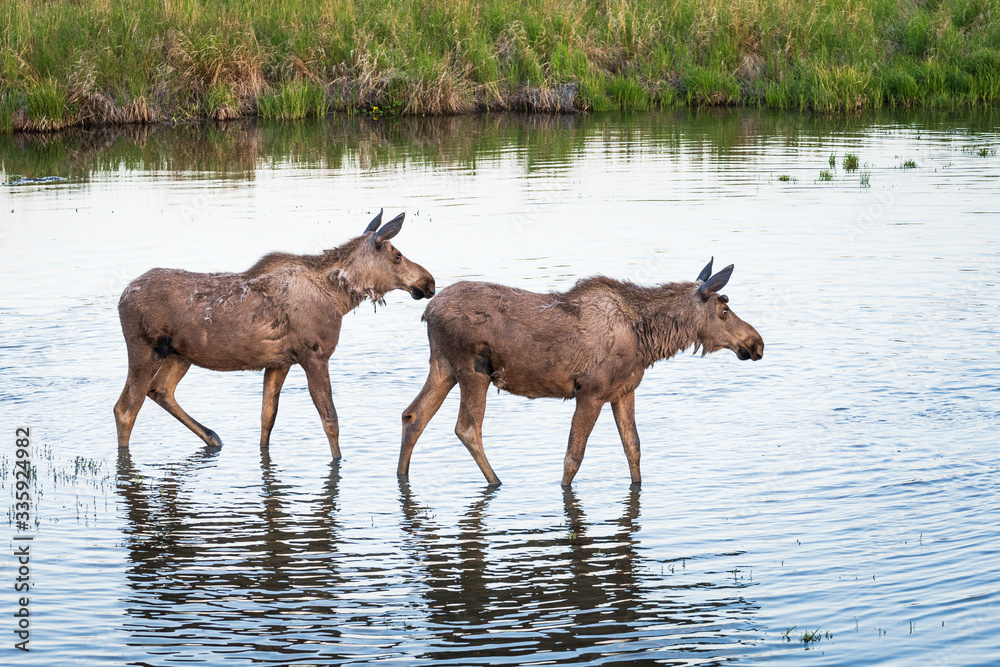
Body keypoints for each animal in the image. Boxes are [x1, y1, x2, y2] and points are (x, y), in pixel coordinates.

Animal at [114, 210, 435, 456]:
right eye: (397, 255)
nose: (428, 282)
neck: (339, 299)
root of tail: (121, 297)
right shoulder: (315, 355)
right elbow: (330, 419)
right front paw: (338, 461)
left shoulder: (279, 363)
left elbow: (267, 418)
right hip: (145, 349)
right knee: (126, 408)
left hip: (180, 355)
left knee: (160, 390)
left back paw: (212, 437)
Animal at [397, 258, 763, 487]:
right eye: (724, 310)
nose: (756, 343)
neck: (647, 339)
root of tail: (428, 311)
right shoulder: (590, 393)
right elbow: (573, 456)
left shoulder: (624, 391)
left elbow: (634, 447)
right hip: (474, 371)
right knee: (468, 428)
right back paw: (497, 481)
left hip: (444, 367)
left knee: (414, 415)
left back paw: (402, 476)